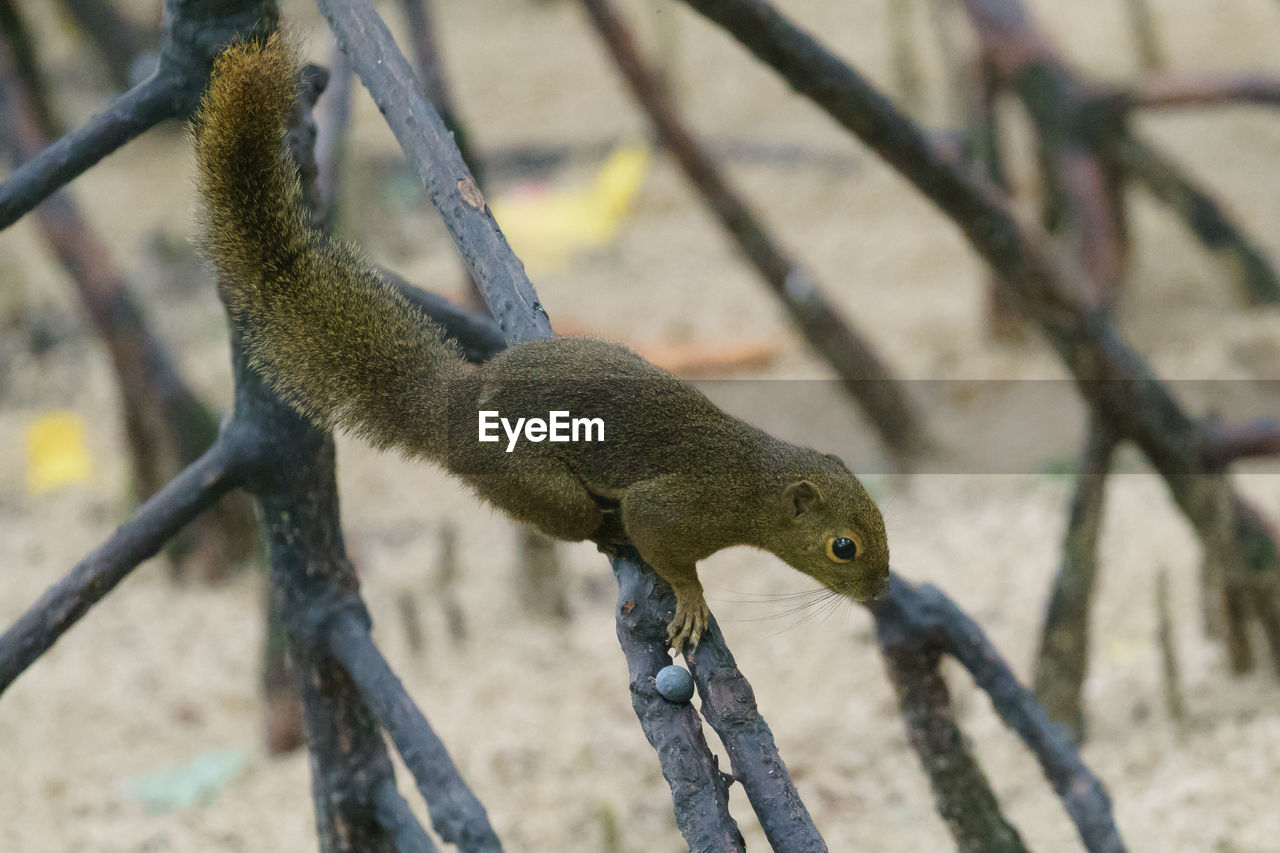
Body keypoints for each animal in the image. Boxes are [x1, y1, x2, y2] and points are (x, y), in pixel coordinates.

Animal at [192, 33, 890, 645]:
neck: (752, 480)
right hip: (532, 480)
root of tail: (460, 403)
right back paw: (607, 536)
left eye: (882, 524)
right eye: (843, 547)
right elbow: (660, 537)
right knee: (577, 519)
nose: (881, 591)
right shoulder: (678, 506)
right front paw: (692, 600)